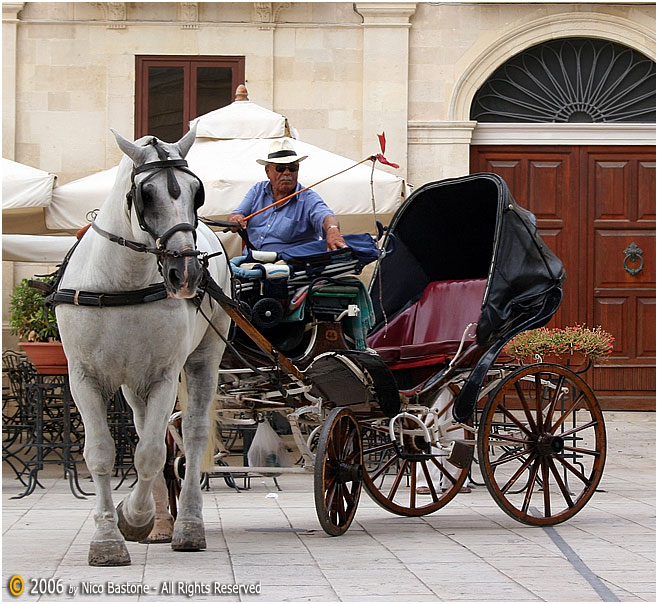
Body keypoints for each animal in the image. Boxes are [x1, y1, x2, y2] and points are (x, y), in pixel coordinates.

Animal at [55, 129, 232, 568]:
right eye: (145, 194)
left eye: (196, 193)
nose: (186, 272)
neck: (123, 281)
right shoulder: (83, 378)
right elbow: (102, 453)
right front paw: (108, 538)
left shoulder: (164, 377)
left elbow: (150, 453)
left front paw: (134, 519)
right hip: (131, 384)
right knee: (144, 429)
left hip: (203, 359)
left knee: (192, 436)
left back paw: (187, 525)